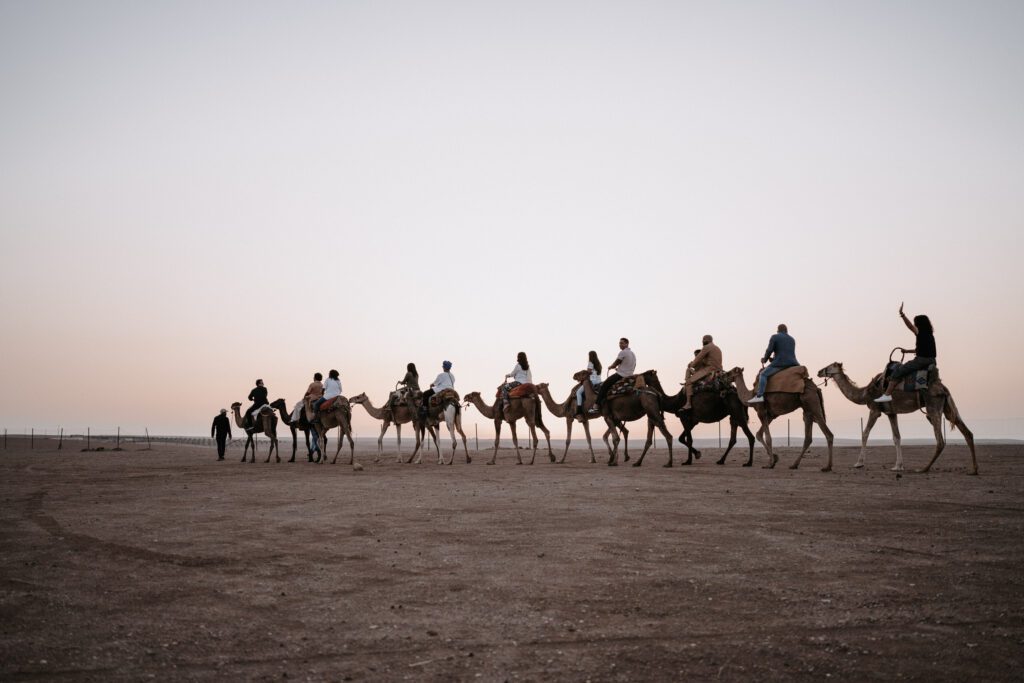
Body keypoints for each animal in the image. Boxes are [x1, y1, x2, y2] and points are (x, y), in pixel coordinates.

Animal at [815, 362, 974, 475]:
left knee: (940, 440)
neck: (865, 393)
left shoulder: (875, 410)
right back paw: (974, 470)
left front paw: (859, 463)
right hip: (947, 407)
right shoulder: (891, 413)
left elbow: (865, 433)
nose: (819, 371)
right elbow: (896, 437)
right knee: (967, 432)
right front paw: (898, 466)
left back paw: (924, 469)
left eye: (830, 365)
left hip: (933, 406)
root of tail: (943, 388)